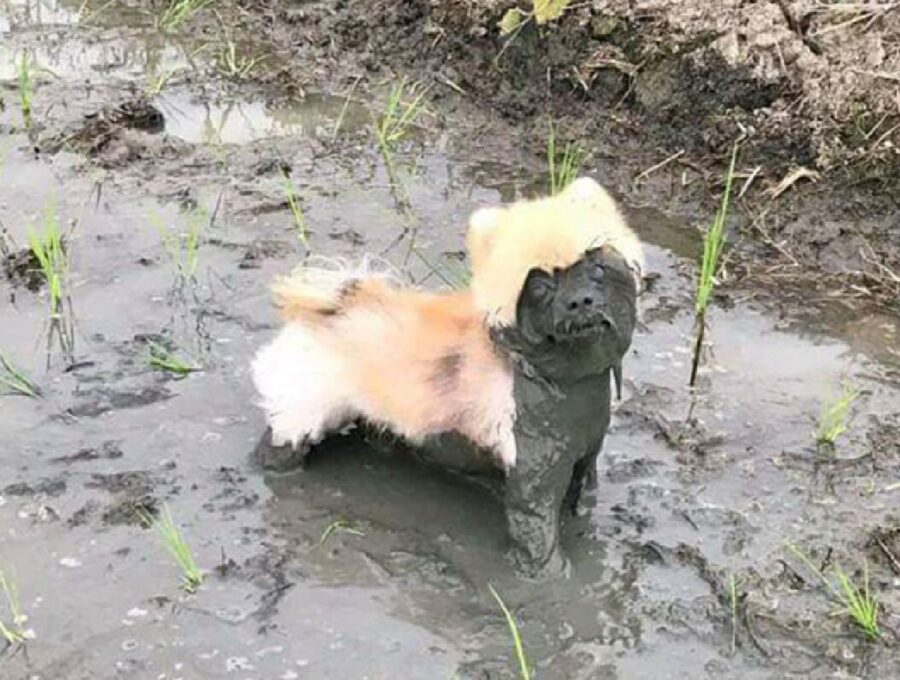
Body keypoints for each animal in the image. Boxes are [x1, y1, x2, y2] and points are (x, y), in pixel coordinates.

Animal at [250, 177, 644, 572]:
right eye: (539, 287)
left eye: (596, 266)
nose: (579, 301)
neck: (561, 379)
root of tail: (335, 307)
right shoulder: (534, 475)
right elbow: (537, 532)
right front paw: (550, 576)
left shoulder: (584, 456)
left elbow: (583, 497)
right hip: (303, 410)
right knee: (281, 441)